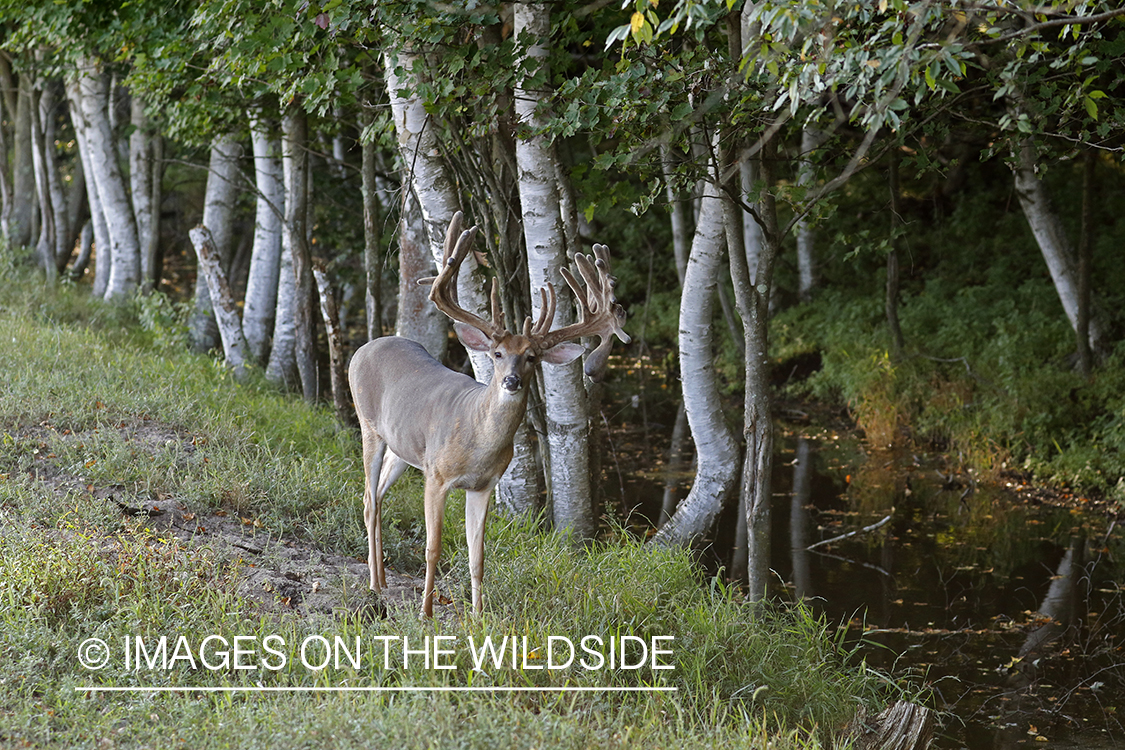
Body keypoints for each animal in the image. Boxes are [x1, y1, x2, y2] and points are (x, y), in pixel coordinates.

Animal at [346, 211, 630, 616]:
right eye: (497, 354)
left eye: (532, 357)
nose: (511, 380)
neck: (478, 440)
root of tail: (367, 346)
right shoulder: (436, 475)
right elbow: (433, 548)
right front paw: (426, 613)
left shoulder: (483, 485)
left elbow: (477, 555)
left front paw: (479, 617)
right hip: (369, 426)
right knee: (369, 500)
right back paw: (373, 585)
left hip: (404, 449)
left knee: (380, 495)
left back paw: (383, 580)